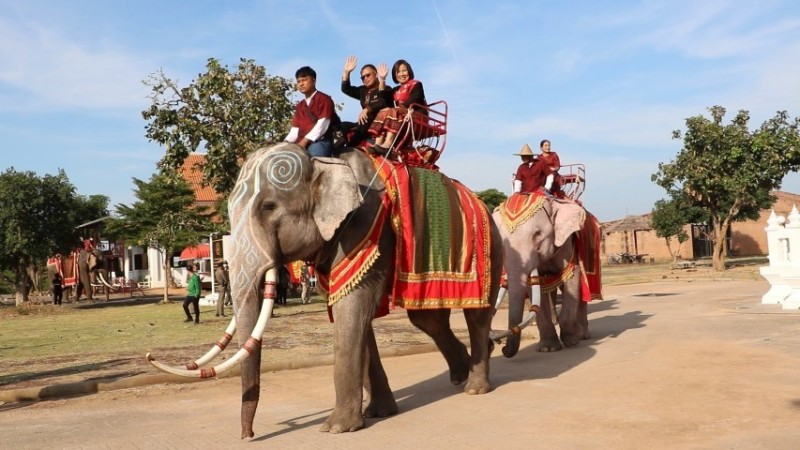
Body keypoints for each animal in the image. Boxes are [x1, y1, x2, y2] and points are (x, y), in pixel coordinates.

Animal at [147, 144, 504, 440]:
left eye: (268, 207)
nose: (248, 436)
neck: (324, 162)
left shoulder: (366, 227)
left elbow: (352, 309)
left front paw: (335, 429)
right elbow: (357, 317)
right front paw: (378, 413)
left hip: (491, 250)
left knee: (475, 315)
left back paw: (475, 386)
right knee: (427, 319)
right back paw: (463, 371)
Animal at [490, 195, 596, 356]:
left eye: (537, 234)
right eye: (500, 241)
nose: (502, 347)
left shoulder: (567, 244)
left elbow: (572, 277)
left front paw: (571, 341)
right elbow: (535, 288)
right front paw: (548, 349)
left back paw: (583, 335)